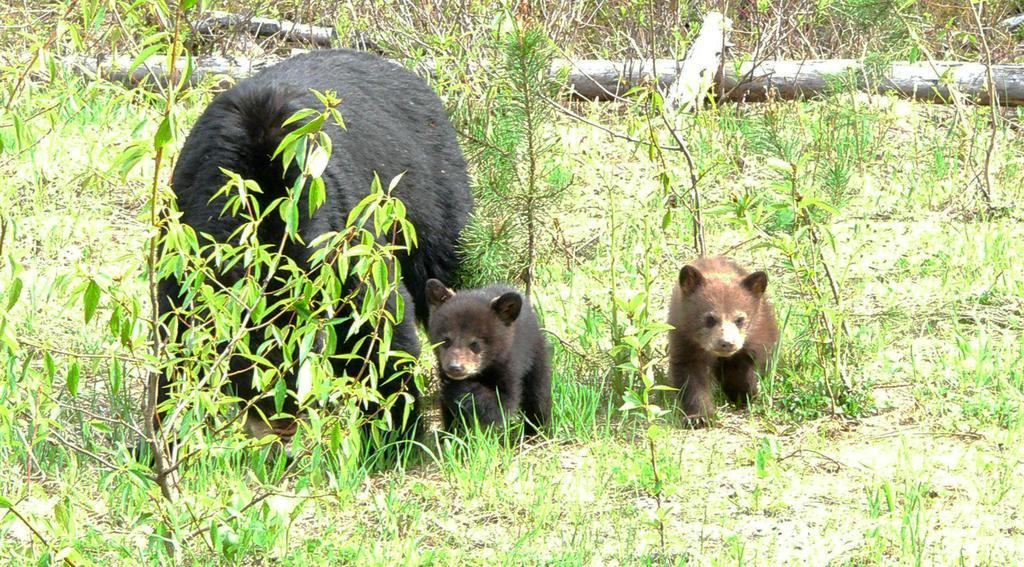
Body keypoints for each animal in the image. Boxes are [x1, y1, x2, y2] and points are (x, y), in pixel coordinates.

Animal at [153, 48, 473, 446]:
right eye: (243, 371)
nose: (282, 428)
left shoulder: (345, 232)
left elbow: (378, 319)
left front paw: (395, 437)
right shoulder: (184, 237)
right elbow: (175, 334)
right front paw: (161, 437)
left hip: (432, 198)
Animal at [421, 278, 557, 431]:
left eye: (475, 344)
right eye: (446, 340)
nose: (455, 367)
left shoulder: (510, 363)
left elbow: (503, 403)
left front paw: (461, 388)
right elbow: (452, 412)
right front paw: (454, 432)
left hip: (535, 354)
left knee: (539, 393)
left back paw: (538, 429)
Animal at [663, 255, 774, 419]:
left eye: (740, 319)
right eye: (710, 318)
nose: (726, 343)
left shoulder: (751, 343)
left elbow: (741, 369)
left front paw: (743, 395)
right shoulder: (684, 339)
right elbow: (691, 377)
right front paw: (699, 417)